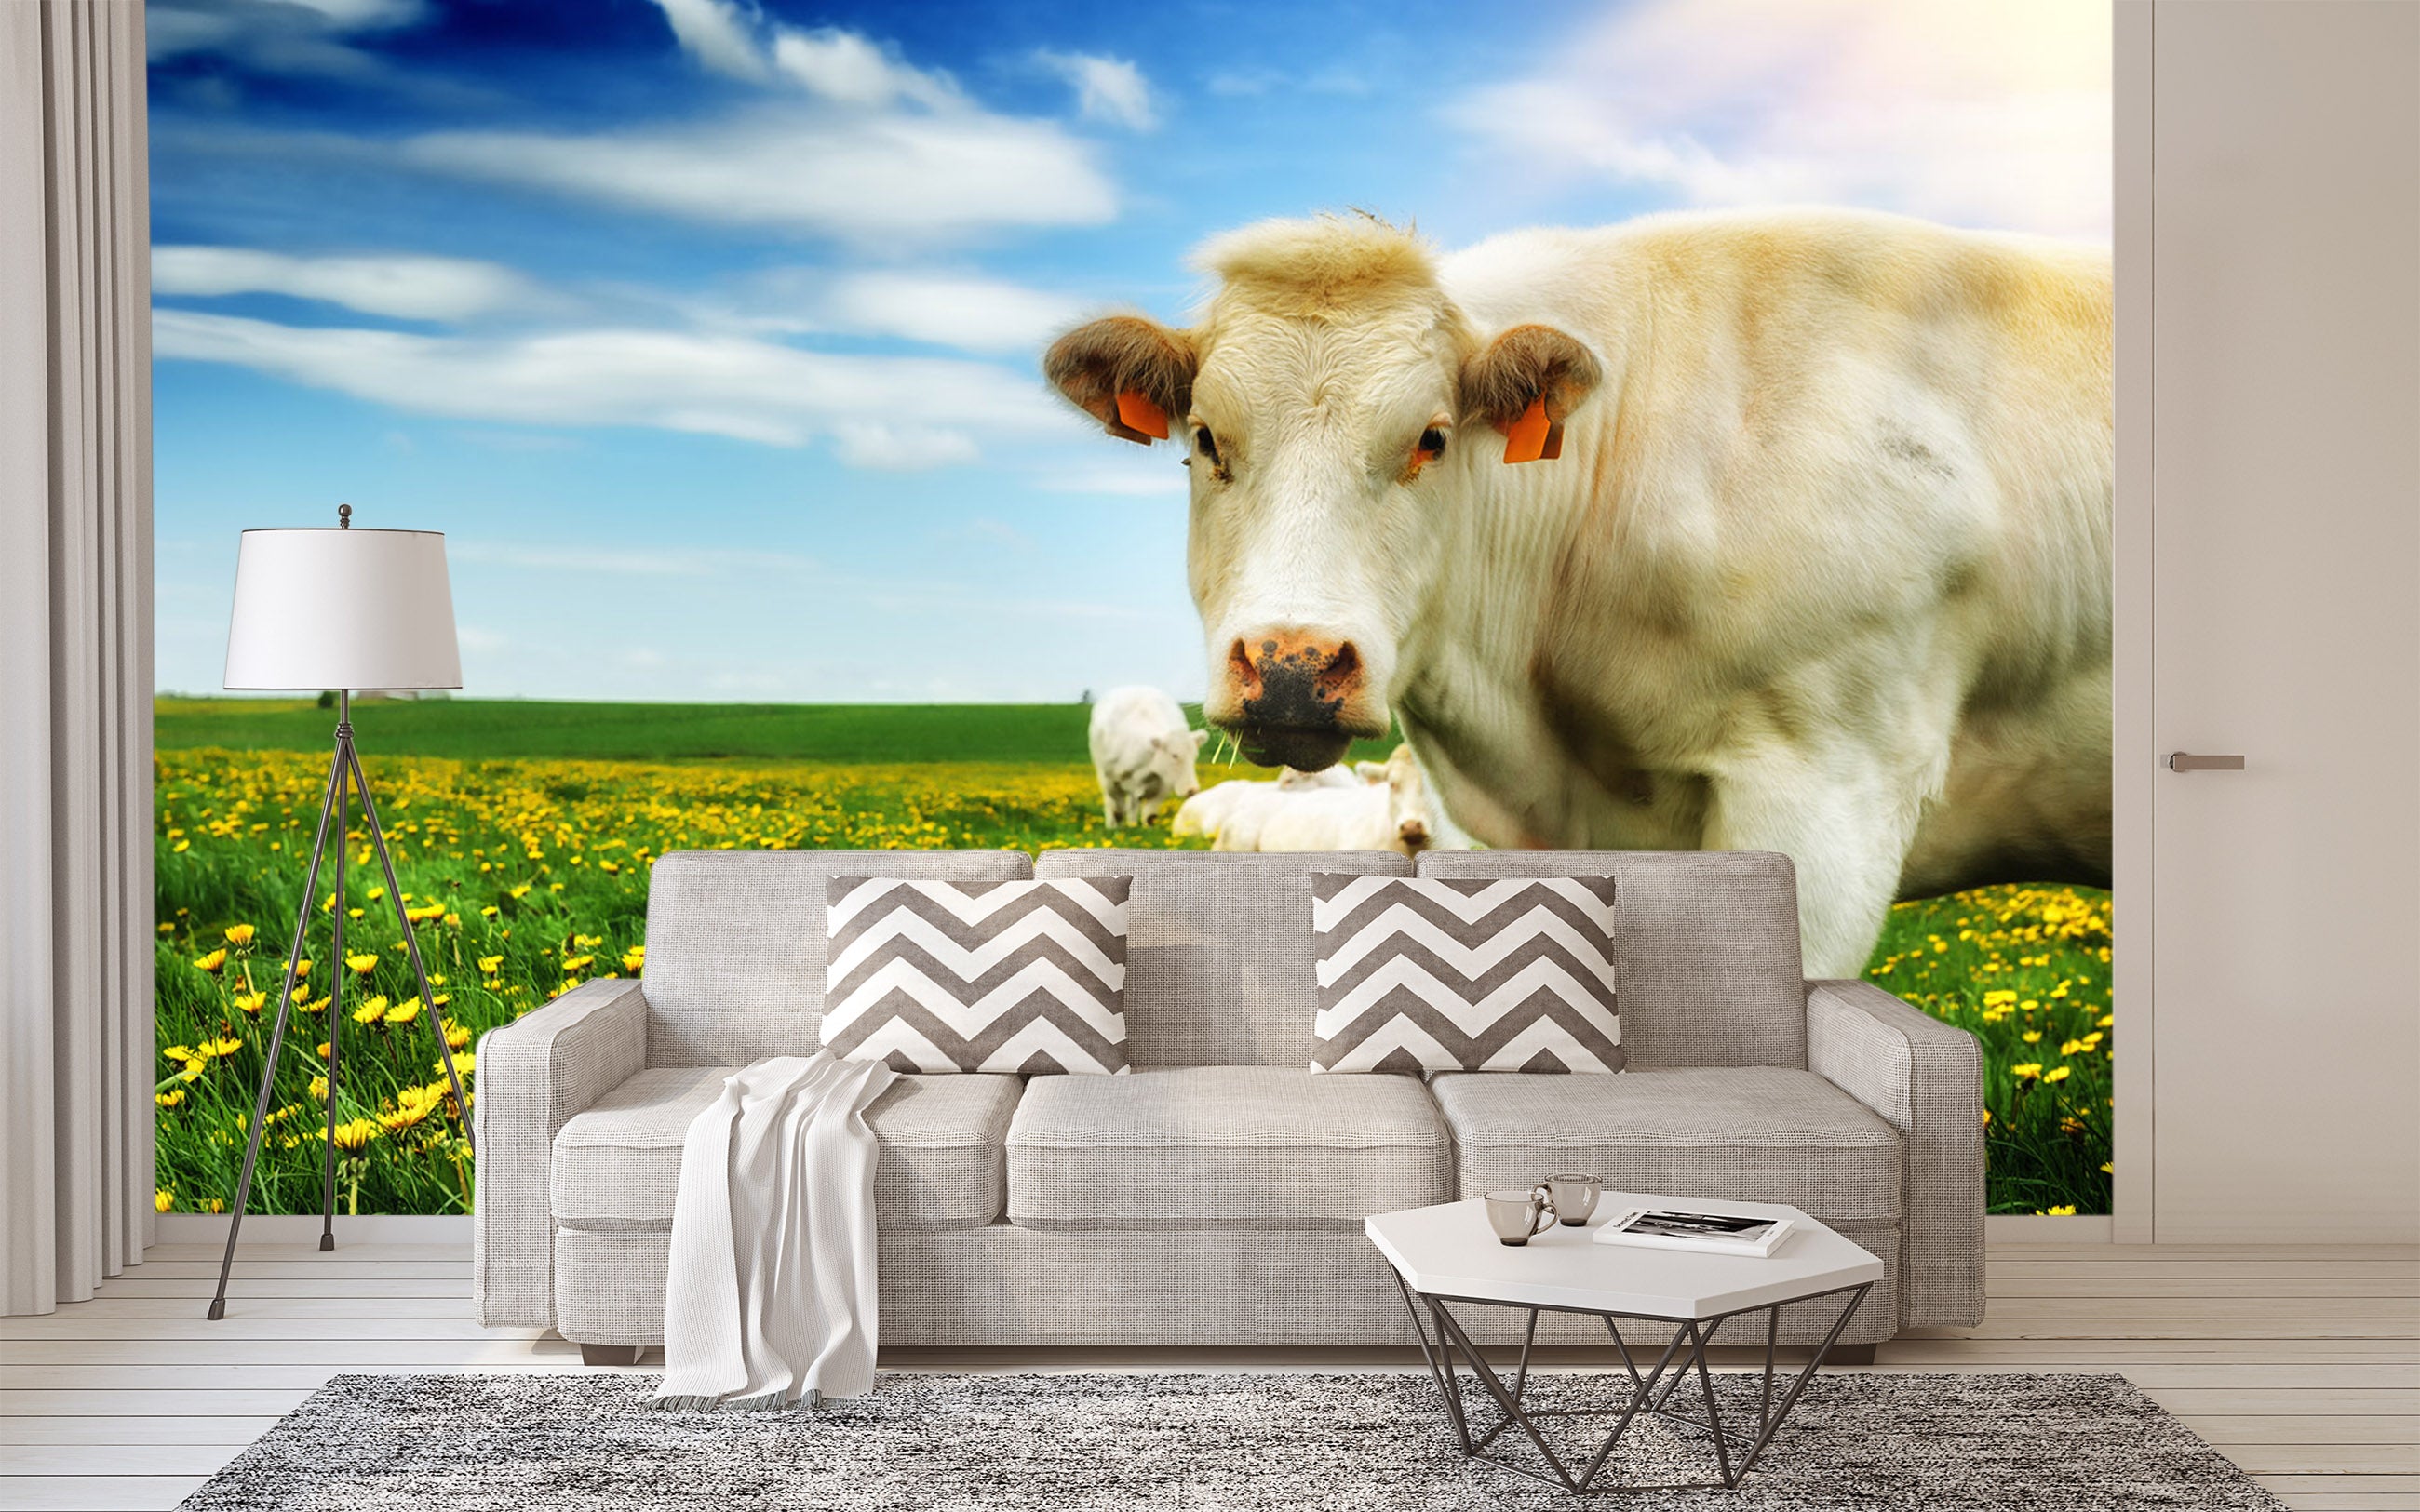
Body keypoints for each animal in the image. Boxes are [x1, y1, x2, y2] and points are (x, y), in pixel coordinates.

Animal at [1087, 686, 1206, 829]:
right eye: (1174, 755)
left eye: (1195, 756)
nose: (1193, 790)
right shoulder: (1110, 781)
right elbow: (1117, 810)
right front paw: (1114, 828)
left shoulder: (1162, 786)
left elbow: (1150, 816)